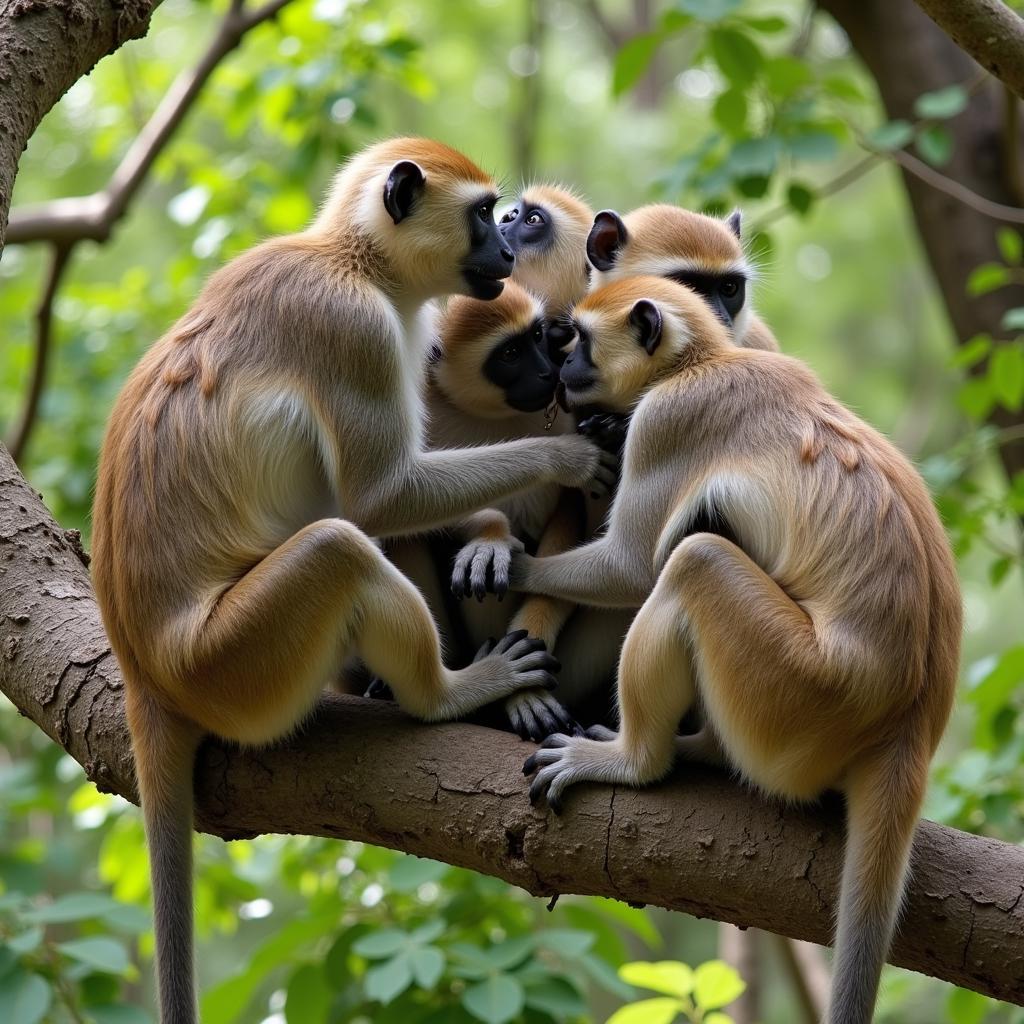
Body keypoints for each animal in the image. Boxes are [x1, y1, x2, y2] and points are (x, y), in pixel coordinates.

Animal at [516, 274, 962, 1024]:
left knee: (694, 557)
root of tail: (909, 726)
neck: (706, 360)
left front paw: (504, 564)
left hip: (798, 698)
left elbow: (631, 566)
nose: (566, 366)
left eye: (578, 338)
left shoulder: (670, 416)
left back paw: (637, 761)